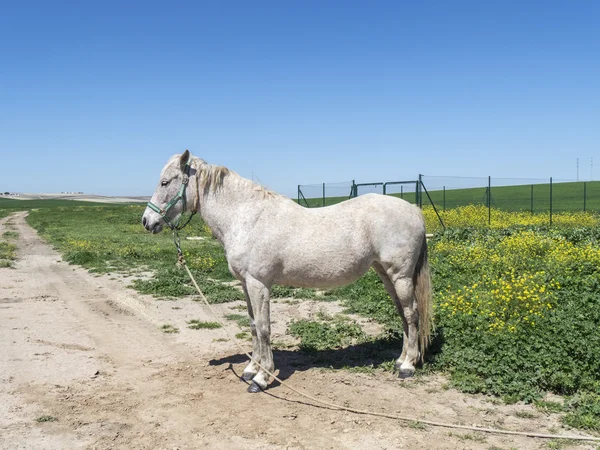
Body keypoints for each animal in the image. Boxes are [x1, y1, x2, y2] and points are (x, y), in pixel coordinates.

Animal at [142, 150, 432, 390]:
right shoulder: (246, 285)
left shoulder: (259, 284)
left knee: (412, 314)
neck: (246, 218)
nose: (147, 221)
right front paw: (250, 369)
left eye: (165, 182)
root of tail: (415, 211)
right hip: (386, 275)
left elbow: (264, 328)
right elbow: (252, 325)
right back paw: (400, 360)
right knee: (403, 314)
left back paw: (408, 366)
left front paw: (261, 378)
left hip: (401, 276)